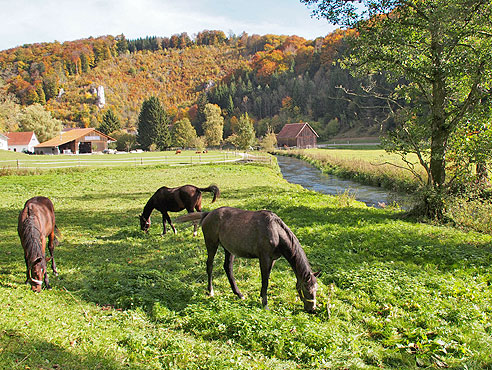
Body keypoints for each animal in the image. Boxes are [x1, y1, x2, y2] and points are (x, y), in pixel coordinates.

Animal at [175, 207, 320, 310]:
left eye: (316, 289)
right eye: (307, 289)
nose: (312, 309)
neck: (276, 231)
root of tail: (208, 214)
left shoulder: (272, 259)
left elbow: (266, 278)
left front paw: (262, 297)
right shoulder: (264, 258)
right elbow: (265, 280)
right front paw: (265, 304)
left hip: (228, 249)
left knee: (228, 268)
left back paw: (239, 294)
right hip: (212, 244)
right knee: (209, 265)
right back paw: (210, 291)